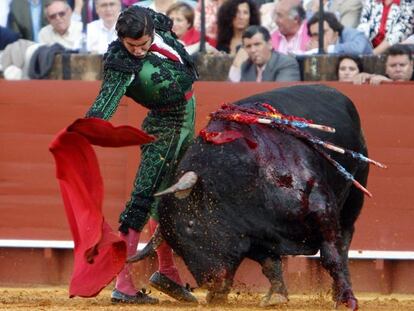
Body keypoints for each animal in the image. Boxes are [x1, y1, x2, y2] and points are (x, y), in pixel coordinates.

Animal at [130, 84, 376, 310]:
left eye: (190, 225)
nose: (209, 283)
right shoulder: (254, 233)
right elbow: (270, 264)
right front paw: (276, 296)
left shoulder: (322, 211)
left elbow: (332, 256)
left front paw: (346, 300)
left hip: (354, 198)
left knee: (344, 242)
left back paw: (341, 294)